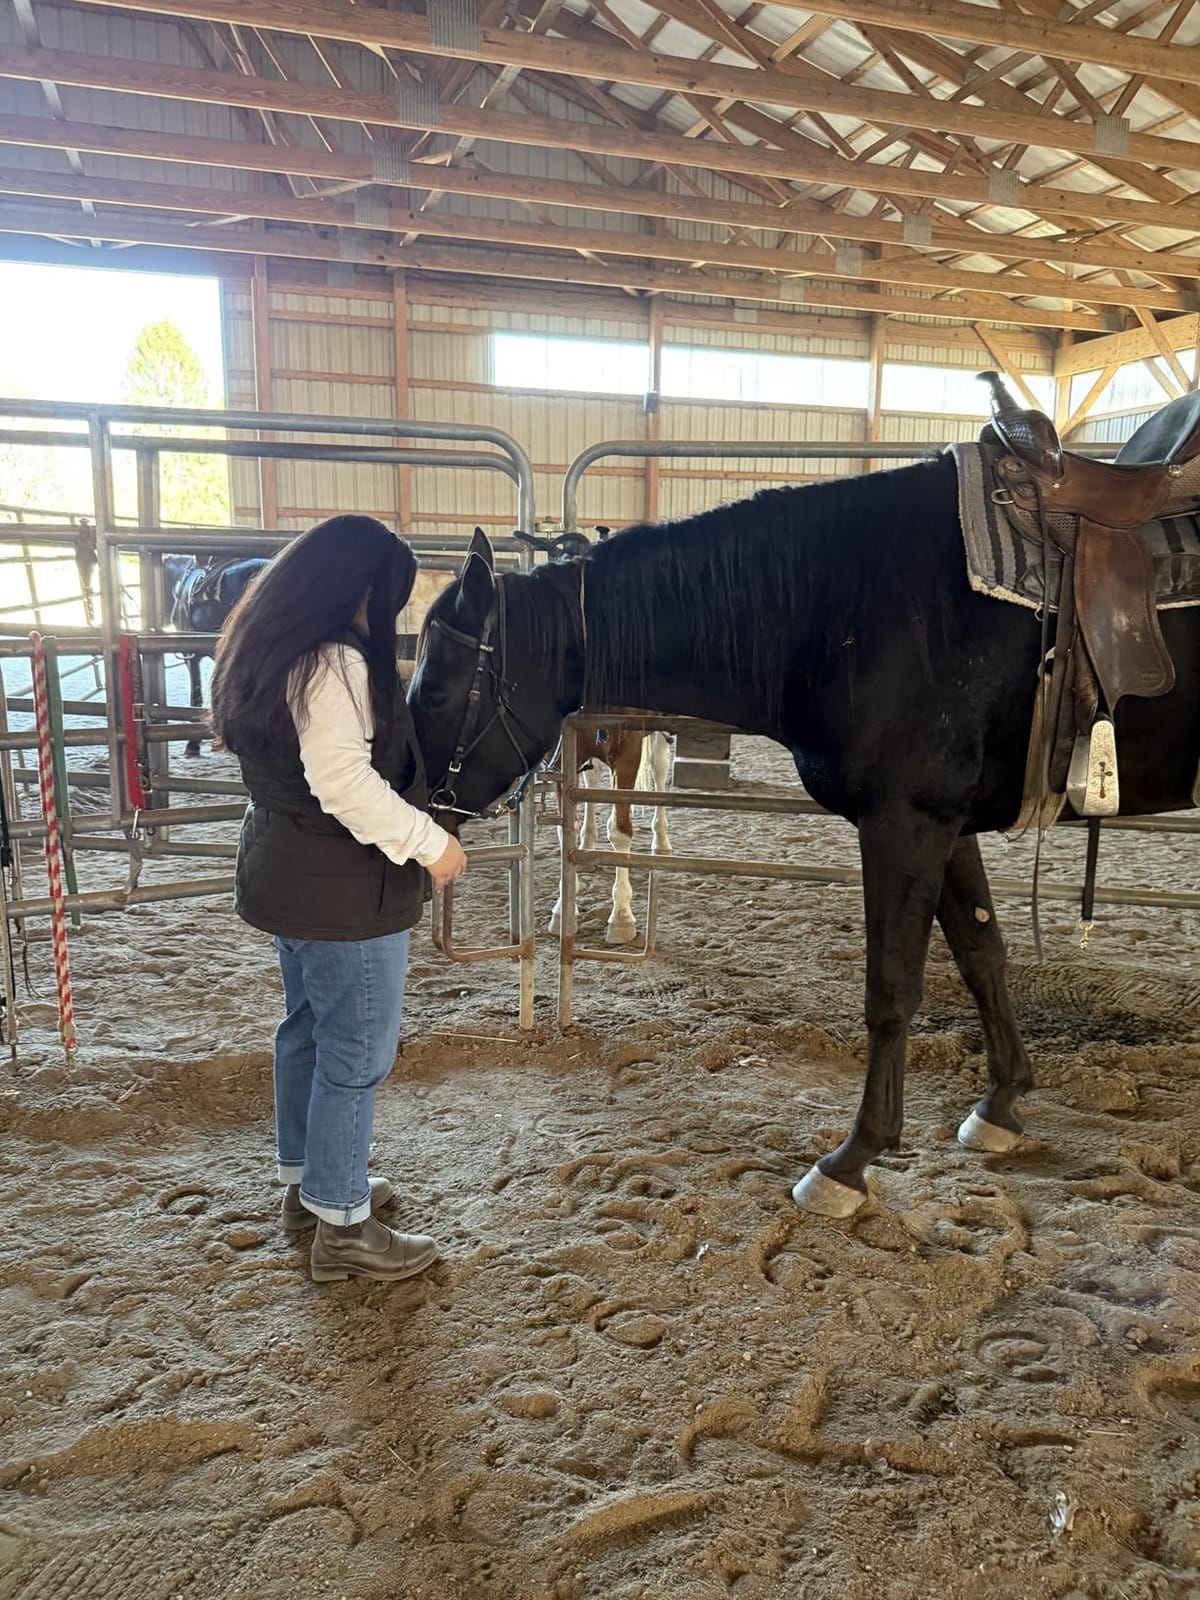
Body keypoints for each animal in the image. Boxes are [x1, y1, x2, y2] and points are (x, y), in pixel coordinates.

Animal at [407, 456, 1200, 1220]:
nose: (414, 806)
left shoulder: (904, 822)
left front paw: (850, 1161)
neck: (845, 607)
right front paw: (1001, 1103)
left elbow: (891, 988)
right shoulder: (946, 826)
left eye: (436, 690)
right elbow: (982, 954)